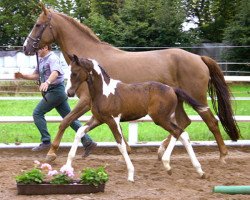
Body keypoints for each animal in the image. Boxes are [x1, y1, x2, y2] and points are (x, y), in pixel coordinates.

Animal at [23, 4, 240, 163]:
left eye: (38, 24)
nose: (26, 47)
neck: (90, 63)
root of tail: (200, 58)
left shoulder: (85, 101)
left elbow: (65, 121)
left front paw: (51, 153)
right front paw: (126, 149)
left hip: (197, 98)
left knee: (211, 122)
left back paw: (223, 155)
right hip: (179, 101)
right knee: (183, 122)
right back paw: (162, 150)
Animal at [65, 54, 206, 181]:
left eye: (74, 73)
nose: (69, 93)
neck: (104, 92)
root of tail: (172, 89)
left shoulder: (112, 120)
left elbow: (121, 144)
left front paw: (131, 174)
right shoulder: (98, 119)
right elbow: (79, 132)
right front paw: (66, 168)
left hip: (160, 118)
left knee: (178, 132)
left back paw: (167, 164)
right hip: (167, 118)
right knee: (183, 134)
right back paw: (199, 171)